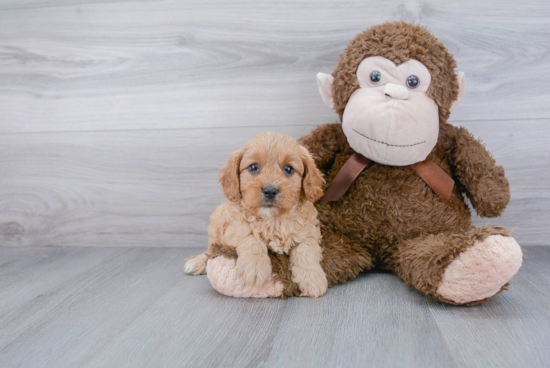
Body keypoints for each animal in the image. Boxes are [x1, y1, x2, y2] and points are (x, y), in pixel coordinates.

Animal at [185, 131, 330, 298]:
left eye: (288, 169)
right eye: (253, 167)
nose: (270, 191)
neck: (273, 220)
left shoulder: (309, 230)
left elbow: (306, 251)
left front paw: (313, 279)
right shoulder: (235, 226)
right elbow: (250, 236)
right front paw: (254, 268)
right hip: (216, 224)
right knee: (210, 251)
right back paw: (196, 262)